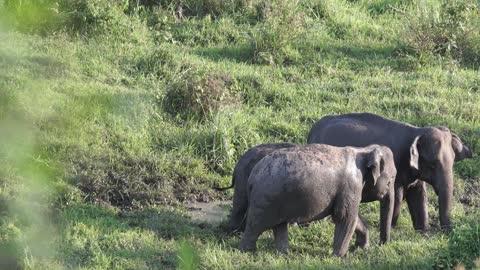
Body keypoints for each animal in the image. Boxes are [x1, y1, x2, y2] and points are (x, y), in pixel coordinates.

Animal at [238, 144, 396, 256]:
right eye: (392, 178)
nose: (381, 245)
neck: (364, 150)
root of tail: (252, 177)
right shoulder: (351, 185)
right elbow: (345, 217)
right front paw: (338, 257)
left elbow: (352, 217)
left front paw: (362, 248)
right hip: (264, 201)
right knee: (255, 226)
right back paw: (247, 251)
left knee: (279, 226)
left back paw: (283, 254)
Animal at [308, 113, 472, 231]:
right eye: (432, 164)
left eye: (453, 162)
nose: (447, 233)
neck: (416, 131)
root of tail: (312, 130)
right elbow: (397, 196)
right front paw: (392, 227)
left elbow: (419, 195)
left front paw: (422, 231)